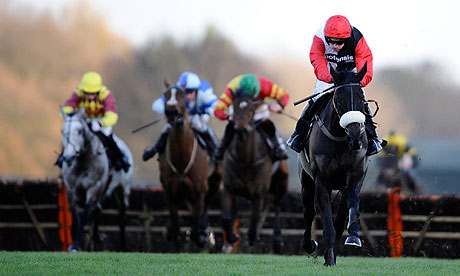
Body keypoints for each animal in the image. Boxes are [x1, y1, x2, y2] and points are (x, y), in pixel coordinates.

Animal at [58, 106, 132, 252]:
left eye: (79, 131)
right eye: (62, 131)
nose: (68, 157)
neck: (83, 163)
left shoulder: (94, 188)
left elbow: (85, 214)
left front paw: (76, 245)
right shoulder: (71, 190)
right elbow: (76, 216)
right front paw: (73, 243)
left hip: (122, 189)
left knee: (122, 216)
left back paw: (123, 246)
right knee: (98, 209)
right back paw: (97, 236)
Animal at [158, 81, 221, 250]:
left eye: (182, 95)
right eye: (166, 94)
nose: (171, 112)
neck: (181, 159)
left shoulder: (199, 190)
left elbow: (195, 229)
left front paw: (202, 238)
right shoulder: (169, 191)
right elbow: (175, 227)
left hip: (214, 181)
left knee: (207, 205)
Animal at [221, 89, 290, 253]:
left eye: (252, 109)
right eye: (234, 108)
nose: (241, 128)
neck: (245, 159)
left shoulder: (259, 193)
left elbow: (254, 222)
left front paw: (252, 238)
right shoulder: (229, 187)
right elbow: (226, 218)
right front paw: (232, 237)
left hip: (282, 181)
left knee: (277, 205)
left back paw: (277, 241)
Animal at [298, 63, 370, 266]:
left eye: (362, 99)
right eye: (338, 98)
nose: (355, 137)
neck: (339, 139)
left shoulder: (355, 175)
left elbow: (351, 205)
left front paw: (353, 237)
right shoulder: (322, 181)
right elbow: (325, 219)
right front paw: (329, 258)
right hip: (306, 181)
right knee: (309, 212)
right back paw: (310, 245)